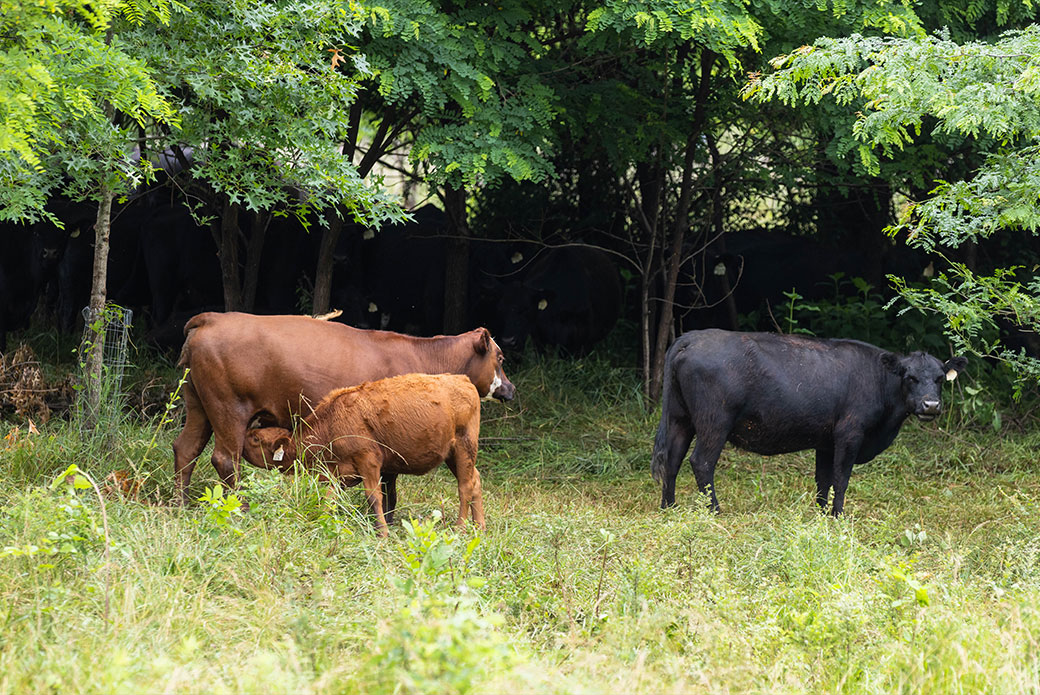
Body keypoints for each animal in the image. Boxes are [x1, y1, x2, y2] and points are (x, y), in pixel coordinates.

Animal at [172, 311, 515, 504]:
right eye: (499, 358)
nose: (510, 389)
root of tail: (213, 317)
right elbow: (387, 485)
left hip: (199, 405)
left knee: (186, 449)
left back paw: (180, 505)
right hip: (229, 409)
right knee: (225, 460)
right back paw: (240, 507)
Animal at [243, 373, 484, 536]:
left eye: (255, 439)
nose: (240, 441)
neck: (332, 422)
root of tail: (462, 379)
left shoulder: (368, 460)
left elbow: (374, 497)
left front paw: (382, 533)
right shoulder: (338, 471)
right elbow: (330, 497)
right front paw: (321, 520)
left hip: (464, 447)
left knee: (465, 486)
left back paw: (461, 528)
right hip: (453, 455)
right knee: (476, 480)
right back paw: (480, 526)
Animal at [651, 329, 967, 516]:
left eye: (940, 378)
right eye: (909, 377)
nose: (931, 405)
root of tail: (691, 337)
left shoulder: (825, 441)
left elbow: (822, 479)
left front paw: (821, 513)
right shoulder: (849, 433)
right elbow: (841, 478)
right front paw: (838, 516)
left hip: (680, 417)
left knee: (672, 459)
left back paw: (669, 508)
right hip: (714, 421)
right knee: (701, 462)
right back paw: (715, 511)